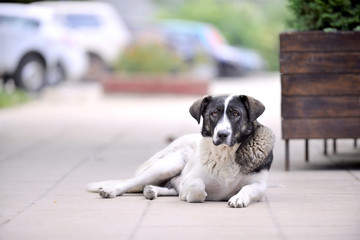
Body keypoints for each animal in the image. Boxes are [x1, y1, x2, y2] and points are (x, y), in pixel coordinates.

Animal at [87, 94, 276, 207]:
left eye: (236, 113)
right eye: (214, 113)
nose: (222, 134)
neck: (225, 154)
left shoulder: (259, 186)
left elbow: (248, 188)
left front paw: (239, 197)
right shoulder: (191, 179)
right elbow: (196, 186)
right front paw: (193, 195)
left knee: (163, 187)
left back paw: (152, 190)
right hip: (167, 165)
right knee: (131, 182)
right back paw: (112, 190)